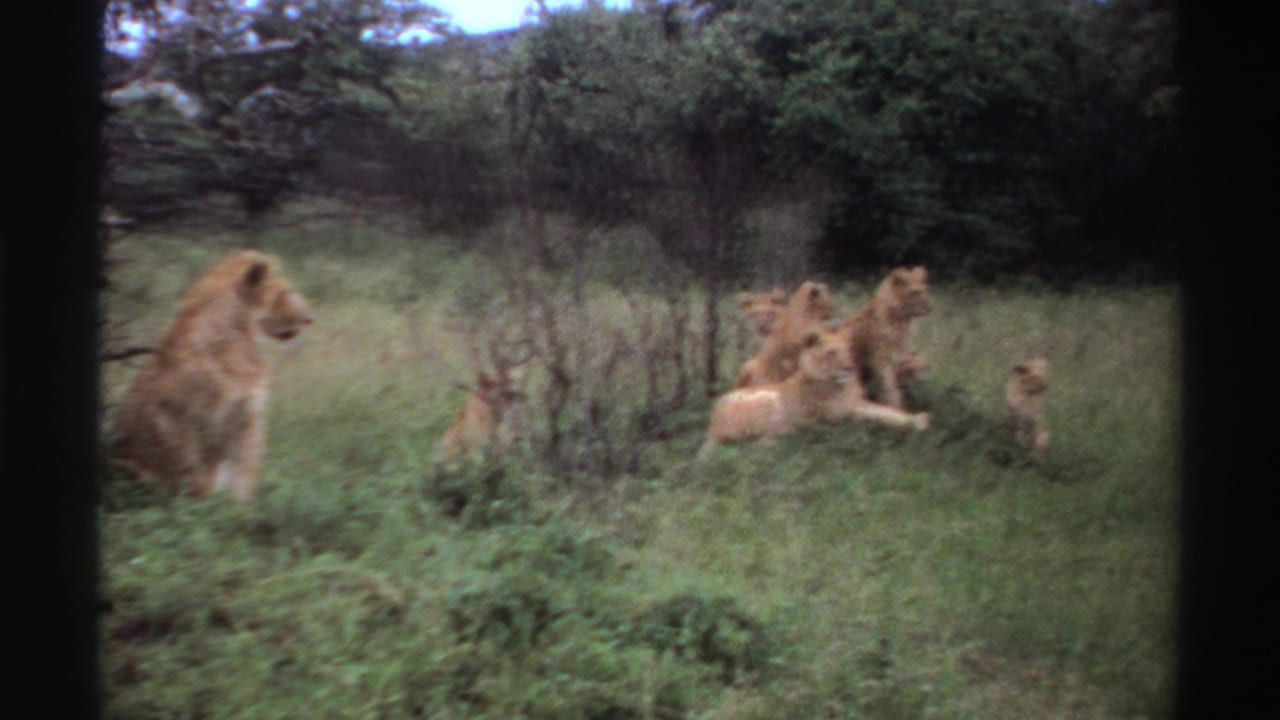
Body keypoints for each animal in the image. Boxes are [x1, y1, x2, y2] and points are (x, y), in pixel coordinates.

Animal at [110, 250, 314, 501]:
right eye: (286, 292)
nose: (310, 318)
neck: (240, 343)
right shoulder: (175, 416)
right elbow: (192, 472)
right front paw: (202, 503)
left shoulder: (248, 419)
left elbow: (243, 474)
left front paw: (239, 508)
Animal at [834, 266, 932, 409]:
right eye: (915, 293)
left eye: (925, 290)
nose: (930, 308)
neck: (903, 321)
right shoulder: (881, 360)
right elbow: (890, 388)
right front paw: (894, 407)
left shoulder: (896, 359)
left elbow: (893, 388)